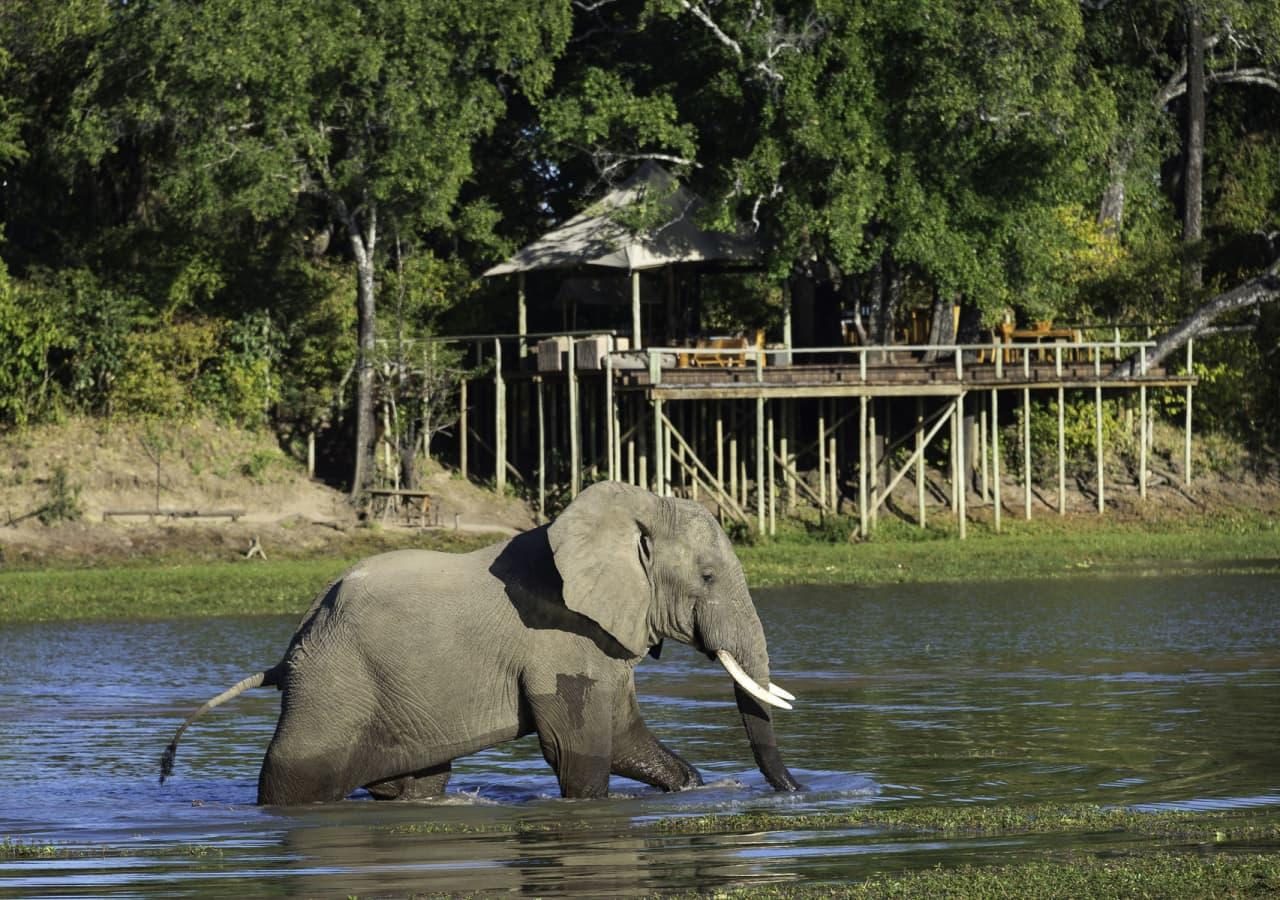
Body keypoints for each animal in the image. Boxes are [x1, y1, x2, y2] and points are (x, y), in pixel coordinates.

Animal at [160, 481, 798, 803]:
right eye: (708, 577)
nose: (794, 794)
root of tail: (290, 647)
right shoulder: (559, 640)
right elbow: (578, 751)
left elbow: (623, 739)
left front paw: (693, 788)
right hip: (330, 688)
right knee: (294, 780)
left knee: (416, 784)